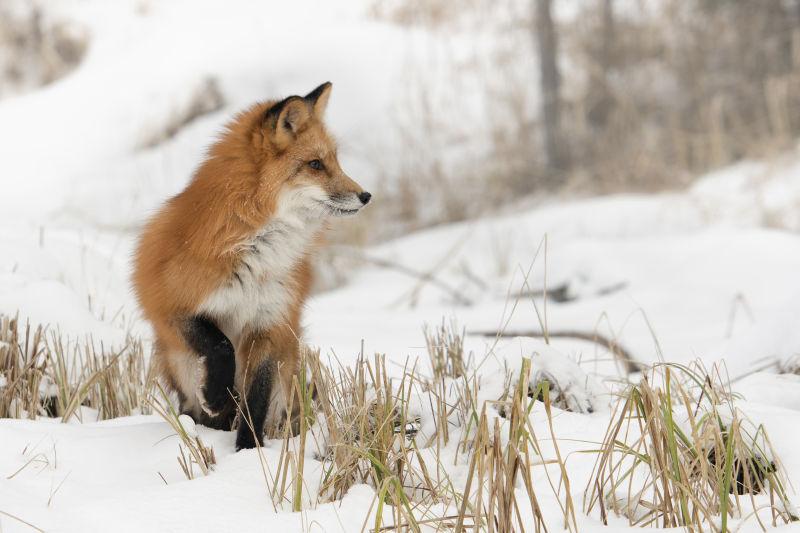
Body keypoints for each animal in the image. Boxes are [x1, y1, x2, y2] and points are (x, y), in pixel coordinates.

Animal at [133, 83, 370, 448]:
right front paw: (218, 396)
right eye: (315, 164)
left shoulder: (270, 323)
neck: (257, 250)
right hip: (179, 361)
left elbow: (256, 399)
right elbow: (221, 345)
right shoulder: (171, 306)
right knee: (193, 405)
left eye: (334, 161)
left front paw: (249, 450)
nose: (365, 196)